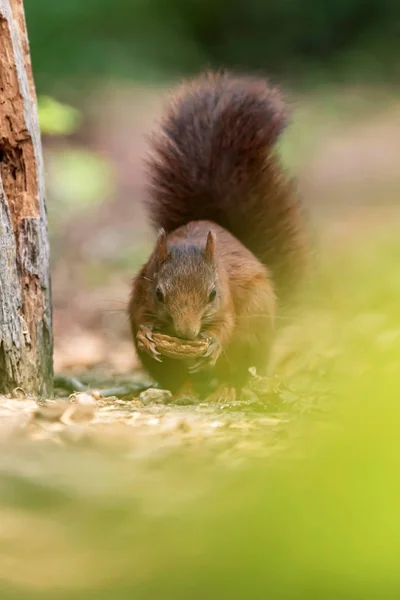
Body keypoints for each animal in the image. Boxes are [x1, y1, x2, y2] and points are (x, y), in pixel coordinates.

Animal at [130, 70, 308, 396]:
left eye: (213, 293)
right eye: (159, 294)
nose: (187, 334)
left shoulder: (226, 304)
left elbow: (226, 325)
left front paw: (212, 343)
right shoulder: (140, 291)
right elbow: (140, 318)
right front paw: (146, 336)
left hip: (252, 339)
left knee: (236, 372)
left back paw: (224, 389)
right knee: (179, 377)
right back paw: (184, 390)